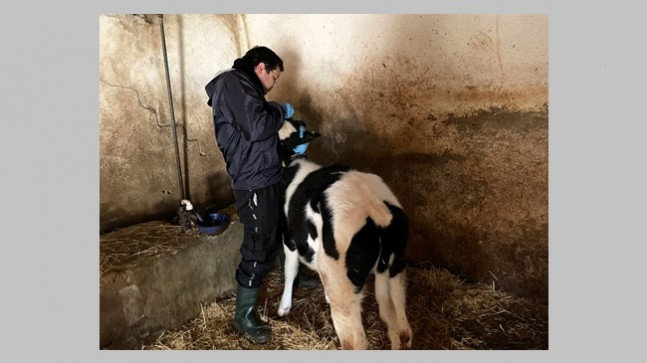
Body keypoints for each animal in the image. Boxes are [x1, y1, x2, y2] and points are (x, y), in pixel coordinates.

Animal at [276, 121, 412, 352]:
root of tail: (374, 207)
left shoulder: (289, 239)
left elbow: (290, 270)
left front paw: (284, 307)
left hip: (340, 282)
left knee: (355, 341)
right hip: (396, 269)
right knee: (403, 330)